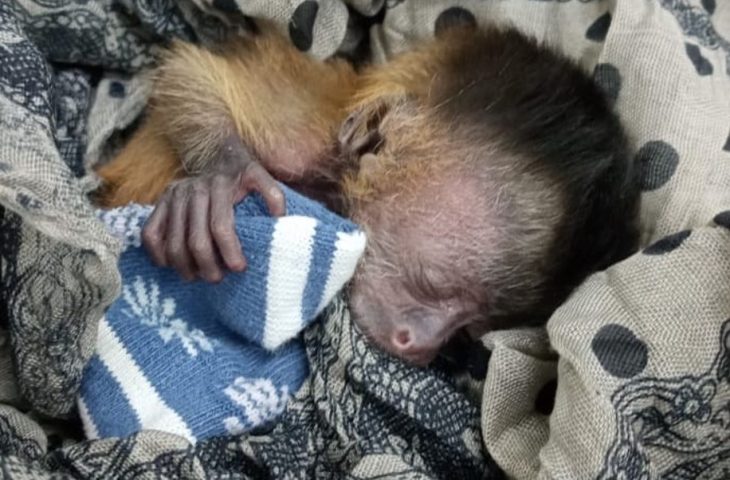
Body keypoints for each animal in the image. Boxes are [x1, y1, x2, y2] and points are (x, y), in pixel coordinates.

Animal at [94, 22, 640, 366]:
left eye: (470, 329)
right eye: (432, 284)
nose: (420, 346)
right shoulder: (300, 139)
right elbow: (187, 70)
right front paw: (222, 173)